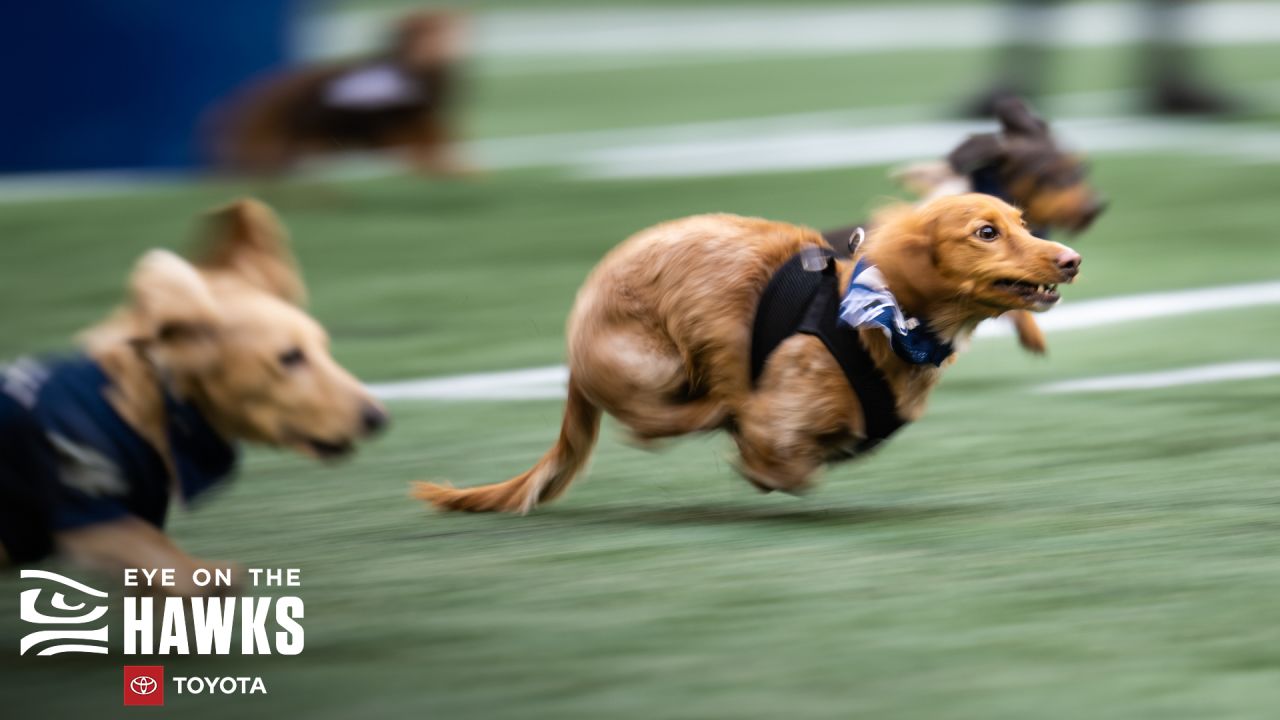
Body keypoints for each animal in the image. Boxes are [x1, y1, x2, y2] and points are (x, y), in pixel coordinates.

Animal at [0, 197, 384, 594]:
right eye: (290, 357)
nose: (378, 418)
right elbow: (180, 568)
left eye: (324, 347)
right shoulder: (91, 517)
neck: (143, 404)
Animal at [212, 11, 473, 176]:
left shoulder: (419, 108)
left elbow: (434, 133)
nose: (462, 25)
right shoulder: (393, 109)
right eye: (432, 30)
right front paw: (434, 160)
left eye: (449, 28)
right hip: (332, 121)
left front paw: (448, 158)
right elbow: (416, 137)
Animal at [419, 192, 1080, 509]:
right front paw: (759, 458)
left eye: (1023, 222)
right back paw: (722, 406)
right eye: (986, 233)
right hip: (658, 364)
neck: (880, 317)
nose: (1071, 259)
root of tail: (576, 348)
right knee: (658, 422)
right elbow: (780, 461)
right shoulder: (781, 418)